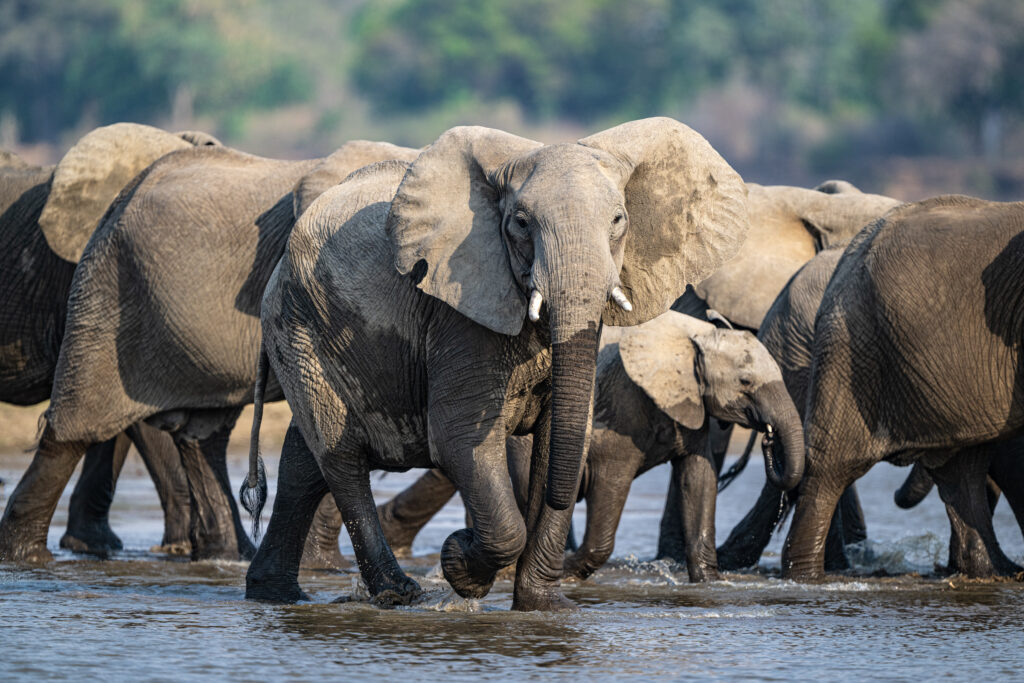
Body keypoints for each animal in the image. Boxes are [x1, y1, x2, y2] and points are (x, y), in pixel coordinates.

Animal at [242, 117, 750, 611]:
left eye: (619, 219)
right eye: (521, 223)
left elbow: (558, 439)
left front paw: (544, 606)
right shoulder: (458, 308)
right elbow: (458, 439)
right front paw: (460, 566)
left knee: (303, 461)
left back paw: (276, 593)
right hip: (299, 326)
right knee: (340, 455)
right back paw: (399, 595)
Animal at [782, 195, 1024, 580]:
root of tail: (850, 250)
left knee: (962, 470)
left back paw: (993, 572)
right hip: (852, 340)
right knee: (831, 465)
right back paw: (805, 577)